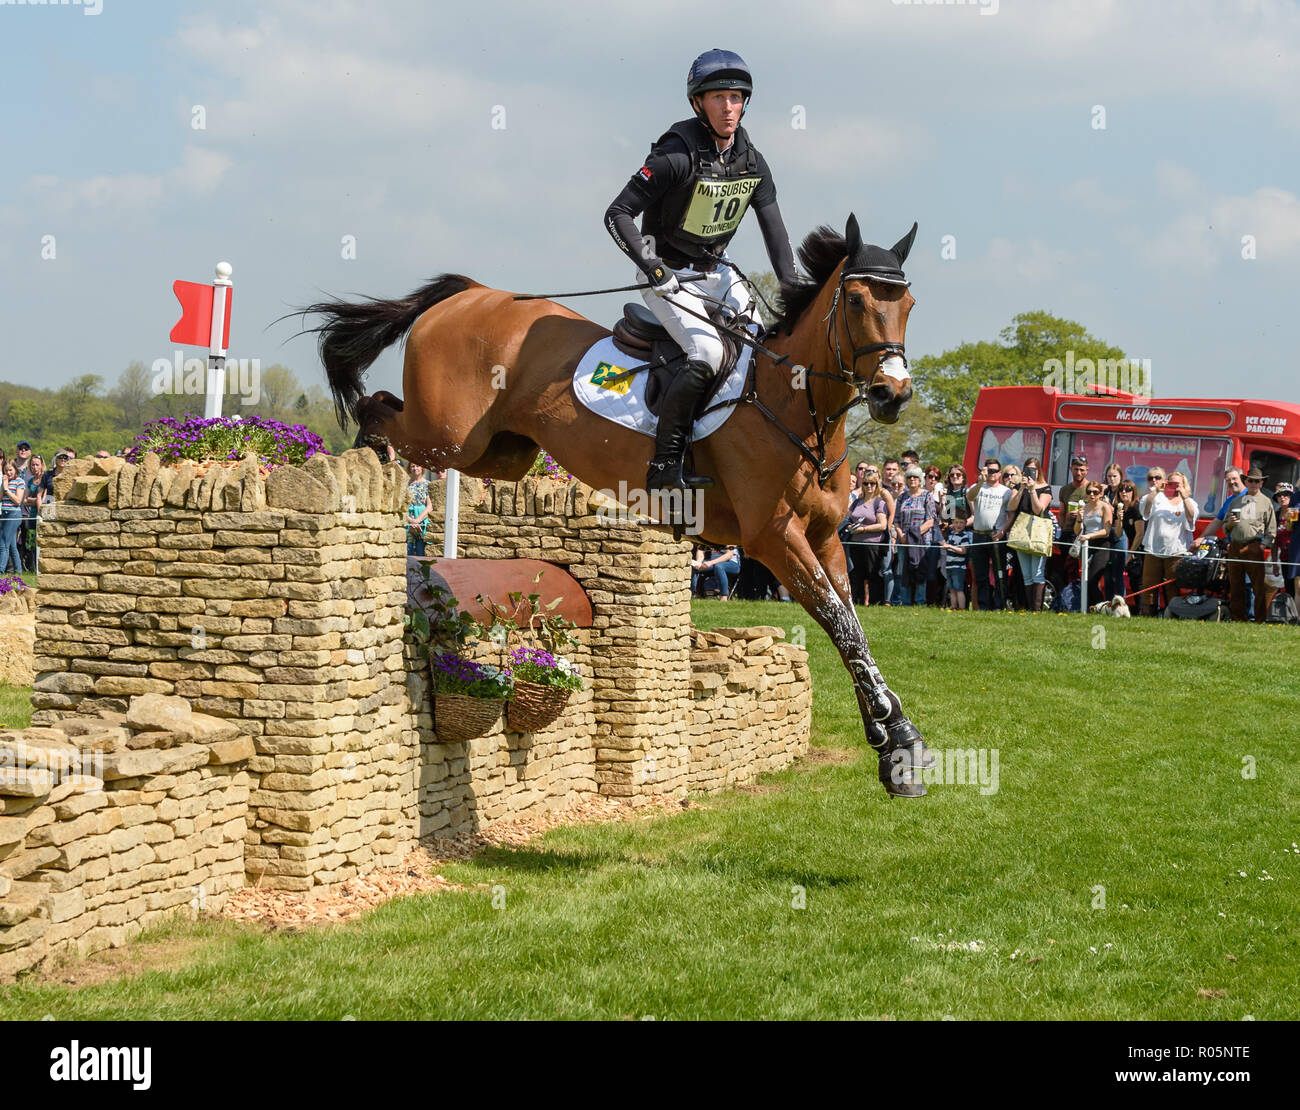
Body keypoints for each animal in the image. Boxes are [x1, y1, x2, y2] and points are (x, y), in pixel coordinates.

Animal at [301, 213, 935, 795]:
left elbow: (850, 627)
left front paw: (894, 745)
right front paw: (897, 737)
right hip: (448, 435)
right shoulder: (774, 540)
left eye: (907, 303)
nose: (892, 394)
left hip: (498, 453)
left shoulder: (825, 539)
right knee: (378, 410)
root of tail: (473, 293)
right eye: (855, 300)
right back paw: (366, 461)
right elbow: (841, 625)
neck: (796, 406)